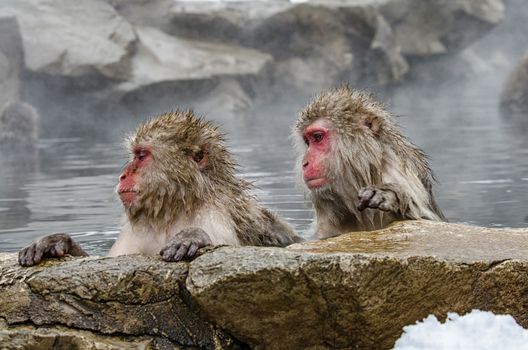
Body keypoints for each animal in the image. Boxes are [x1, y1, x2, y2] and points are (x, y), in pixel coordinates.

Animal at [19, 109, 302, 266]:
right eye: (134, 155)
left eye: (142, 156)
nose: (123, 175)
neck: (175, 208)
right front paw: (57, 242)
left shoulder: (216, 215)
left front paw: (193, 237)